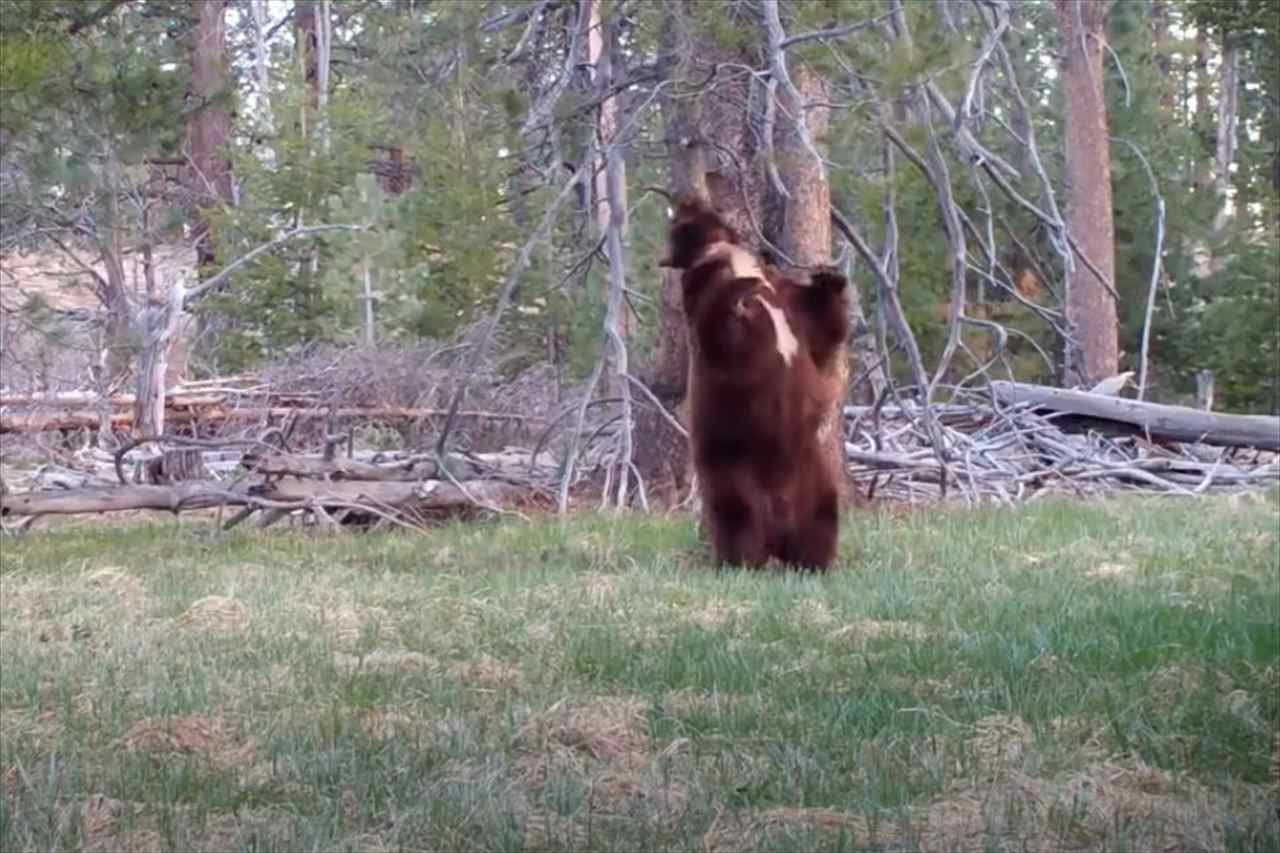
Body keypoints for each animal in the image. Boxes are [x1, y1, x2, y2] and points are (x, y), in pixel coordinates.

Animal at [660, 197, 849, 571]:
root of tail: (780, 528)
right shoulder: (702, 299)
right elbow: (717, 325)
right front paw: (741, 288)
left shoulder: (788, 301)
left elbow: (822, 326)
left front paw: (828, 276)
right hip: (734, 469)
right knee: (736, 518)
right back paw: (741, 561)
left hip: (815, 476)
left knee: (823, 518)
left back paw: (814, 562)